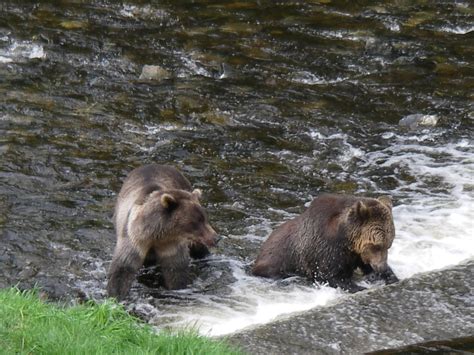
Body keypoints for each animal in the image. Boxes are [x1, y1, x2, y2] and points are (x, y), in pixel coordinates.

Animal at [106, 164, 218, 300]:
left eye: (204, 218)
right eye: (196, 222)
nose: (216, 237)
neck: (156, 234)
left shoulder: (171, 244)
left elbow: (176, 270)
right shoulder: (134, 237)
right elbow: (123, 267)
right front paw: (116, 294)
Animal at [254, 195, 398, 292]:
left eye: (388, 245)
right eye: (376, 246)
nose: (381, 267)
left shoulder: (356, 253)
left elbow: (365, 265)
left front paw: (390, 276)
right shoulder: (326, 249)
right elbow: (330, 275)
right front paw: (358, 287)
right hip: (276, 262)